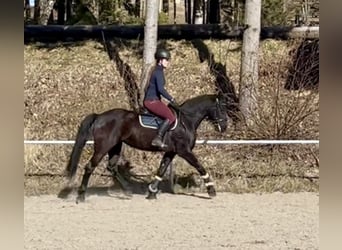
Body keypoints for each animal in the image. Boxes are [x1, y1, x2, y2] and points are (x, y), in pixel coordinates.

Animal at [60, 93, 228, 202]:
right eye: (222, 108)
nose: (225, 126)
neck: (186, 120)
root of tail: (100, 116)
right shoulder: (184, 151)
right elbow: (200, 166)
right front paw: (211, 190)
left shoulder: (170, 151)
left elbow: (161, 170)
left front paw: (151, 193)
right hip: (103, 147)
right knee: (90, 167)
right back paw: (81, 196)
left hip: (116, 146)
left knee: (111, 166)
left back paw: (127, 191)